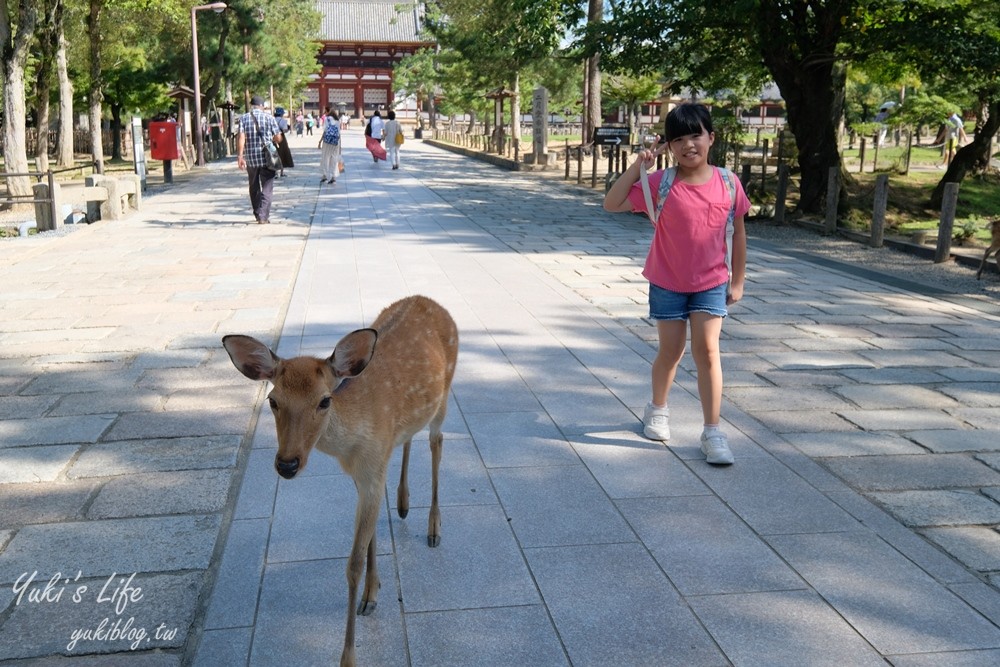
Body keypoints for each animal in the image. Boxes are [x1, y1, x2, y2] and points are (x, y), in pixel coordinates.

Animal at [222, 298, 458, 667]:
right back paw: (404, 504)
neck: (350, 448)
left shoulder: (372, 470)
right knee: (410, 437)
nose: (287, 464)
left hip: (445, 394)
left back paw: (434, 527)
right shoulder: (365, 474)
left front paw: (349, 654)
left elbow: (353, 564)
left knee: (437, 441)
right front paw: (372, 593)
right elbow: (371, 537)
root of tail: (428, 299)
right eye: (273, 401)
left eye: (324, 400)